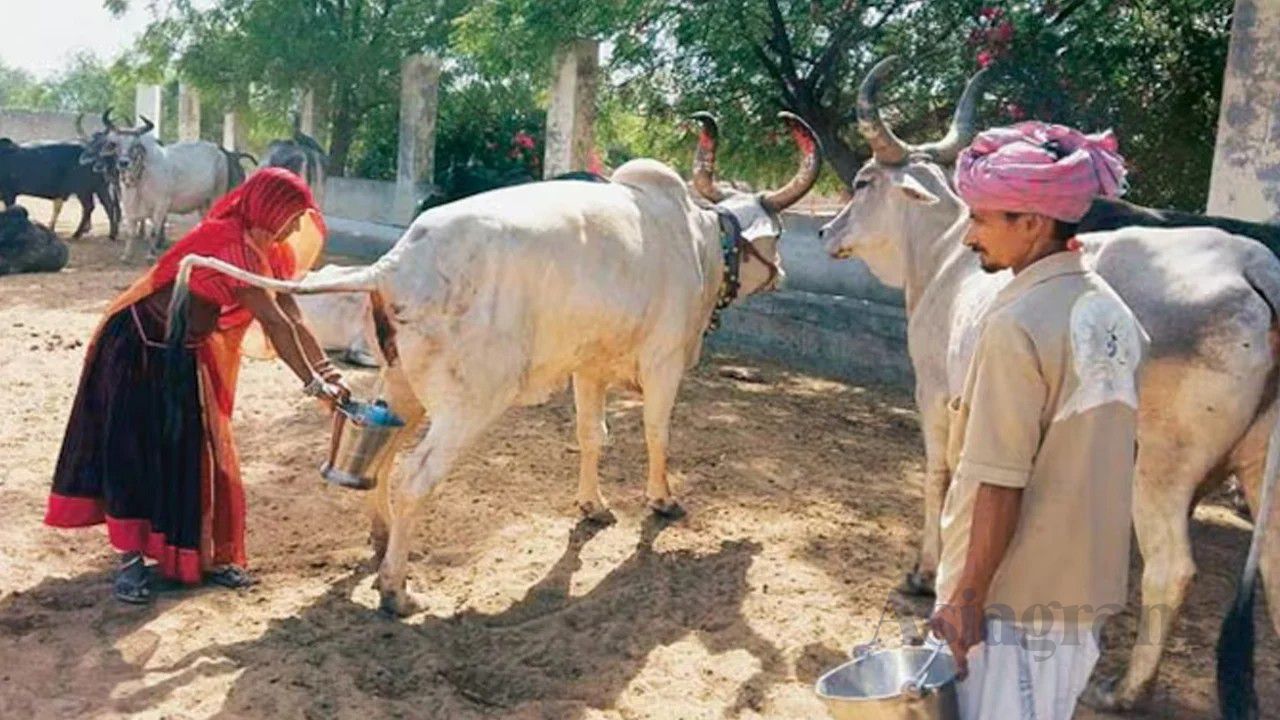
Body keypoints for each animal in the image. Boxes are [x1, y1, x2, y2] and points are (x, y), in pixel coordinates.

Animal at [94, 114, 239, 263]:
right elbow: (130, 233)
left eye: (135, 145)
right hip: (203, 203)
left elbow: (153, 232)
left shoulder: (160, 206)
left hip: (217, 195)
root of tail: (220, 151)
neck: (140, 177)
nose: (123, 163)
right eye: (115, 144)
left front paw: (151, 255)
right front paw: (126, 256)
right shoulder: (130, 208)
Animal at [163, 112, 822, 617]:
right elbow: (658, 434)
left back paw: (380, 541)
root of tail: (398, 263)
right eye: (778, 233)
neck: (698, 239)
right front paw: (662, 500)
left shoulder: (589, 367)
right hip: (471, 404)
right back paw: (396, 591)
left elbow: (593, 435)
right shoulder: (663, 361)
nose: (785, 273)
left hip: (401, 387)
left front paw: (593, 506)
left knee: (385, 459)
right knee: (414, 478)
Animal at [820, 57, 1280, 716]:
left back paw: (1126, 689)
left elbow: (940, 478)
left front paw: (925, 573)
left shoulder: (937, 393)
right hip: (1262, 464)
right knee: (1274, 567)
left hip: (1160, 467)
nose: (827, 232)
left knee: (1171, 569)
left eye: (861, 182)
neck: (943, 256)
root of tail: (1255, 266)